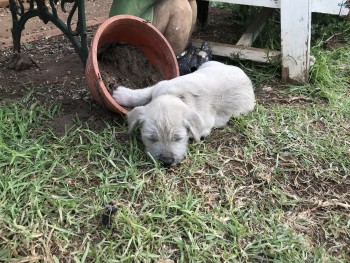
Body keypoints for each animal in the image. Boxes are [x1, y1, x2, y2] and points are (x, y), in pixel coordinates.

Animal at [113, 60, 256, 166]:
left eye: (178, 138)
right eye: (152, 138)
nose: (167, 162)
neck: (176, 95)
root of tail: (246, 77)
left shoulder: (204, 126)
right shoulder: (160, 86)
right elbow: (144, 93)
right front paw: (122, 95)